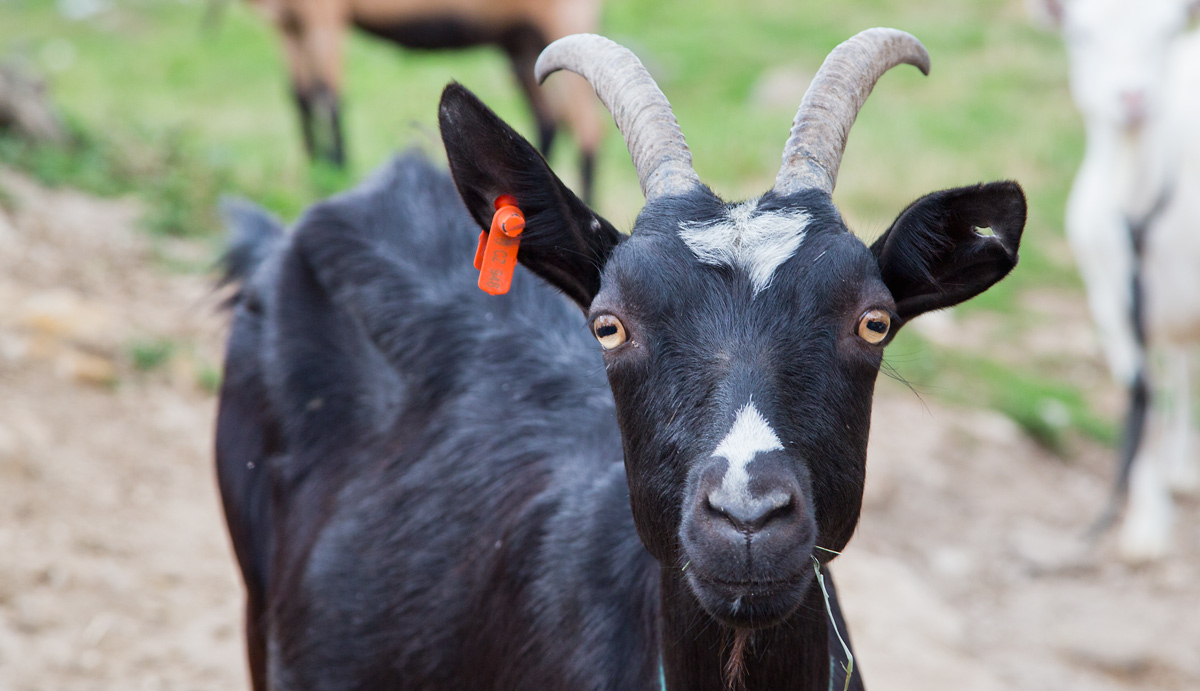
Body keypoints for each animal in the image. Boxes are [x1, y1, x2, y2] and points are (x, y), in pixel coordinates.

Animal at [248, 0, 604, 199]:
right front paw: (315, 173)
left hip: (561, 23)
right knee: (547, 118)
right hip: (520, 40)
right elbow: (300, 97)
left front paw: (337, 176)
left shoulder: (324, 15)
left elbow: (329, 97)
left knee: (585, 124)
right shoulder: (287, 24)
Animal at [1032, 0, 1200, 561]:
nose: (1132, 98)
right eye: (1081, 35)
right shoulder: (1113, 307)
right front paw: (1147, 527)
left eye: (1166, 31)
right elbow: (1141, 403)